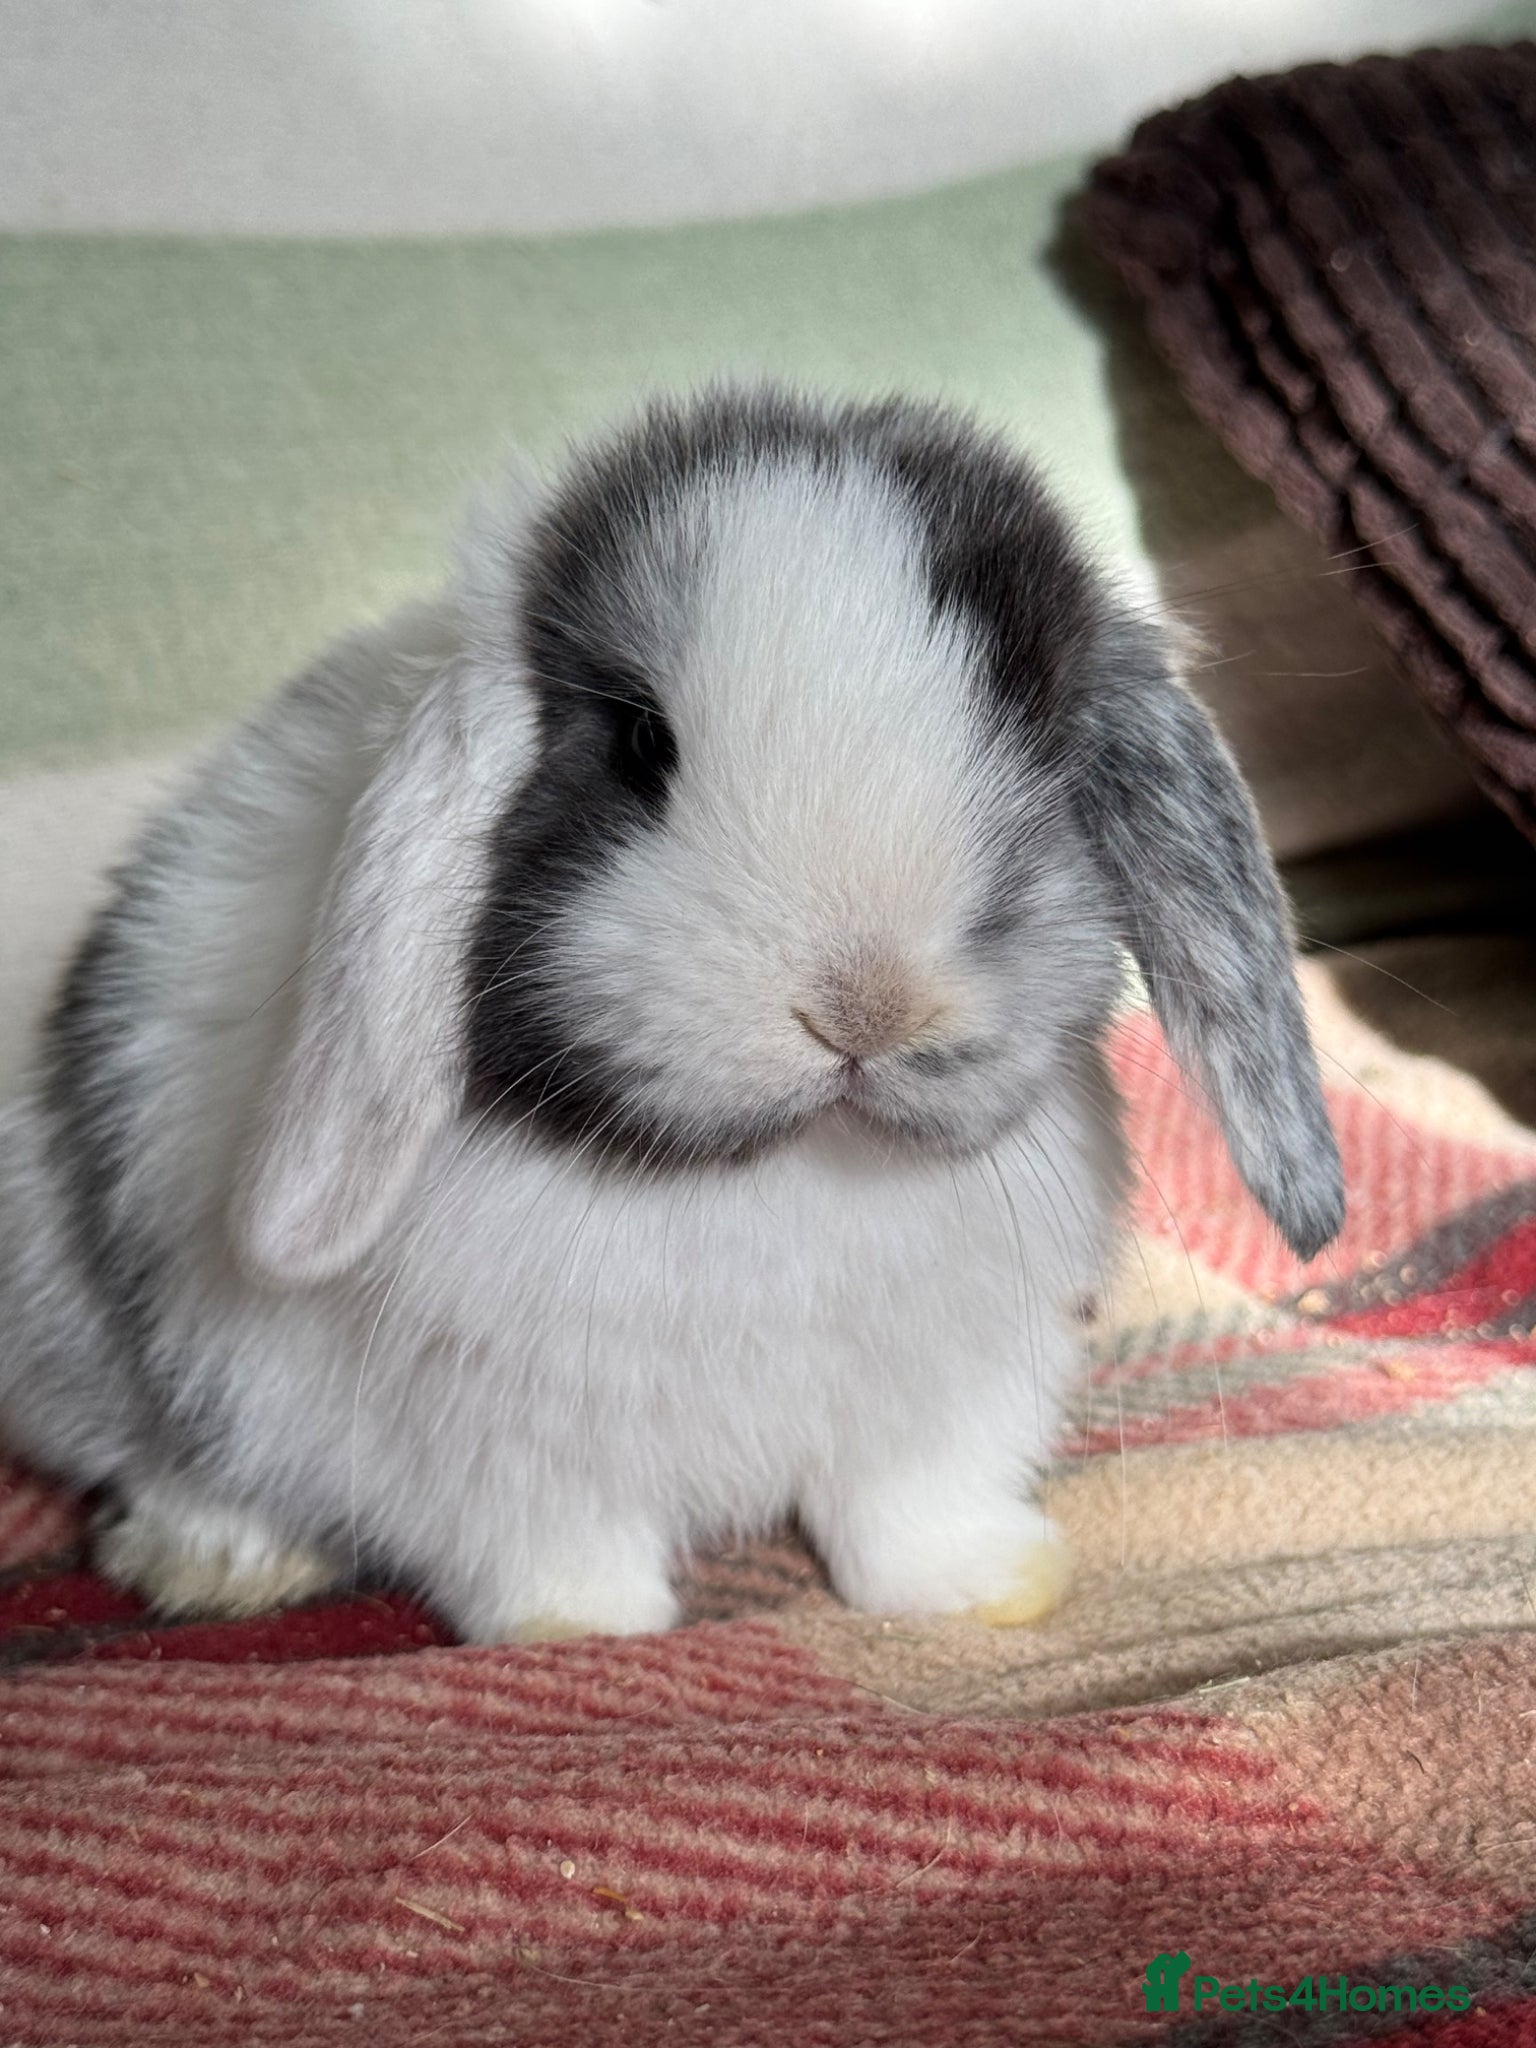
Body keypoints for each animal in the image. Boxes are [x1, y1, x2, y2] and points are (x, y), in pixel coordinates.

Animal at [0, 385, 1343, 1642]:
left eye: (1042, 739)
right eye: (644, 741)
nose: (866, 1004)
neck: (788, 1174)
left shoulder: (942, 1401)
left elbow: (908, 1510)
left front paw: (984, 1589)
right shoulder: (490, 1441)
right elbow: (549, 1542)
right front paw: (580, 1630)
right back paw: (217, 1559)